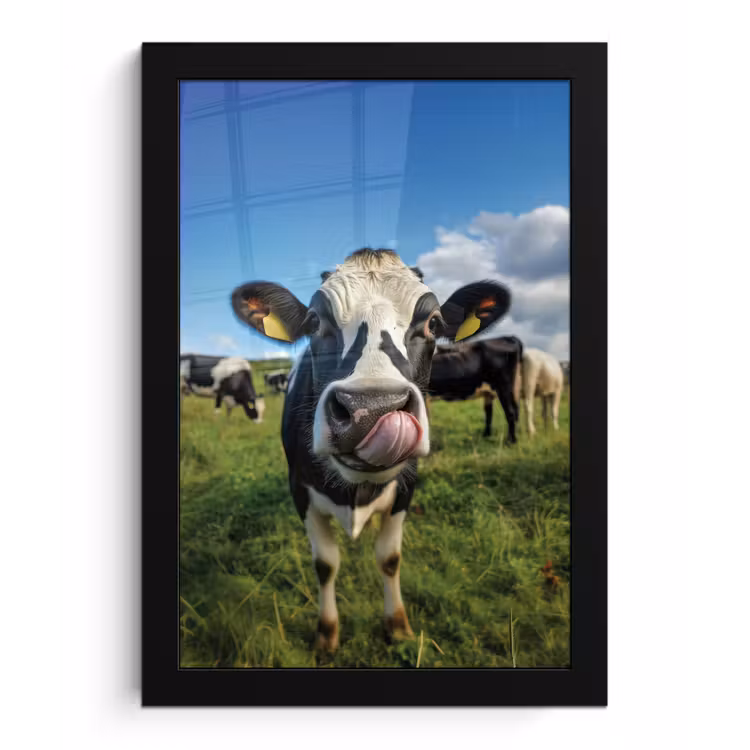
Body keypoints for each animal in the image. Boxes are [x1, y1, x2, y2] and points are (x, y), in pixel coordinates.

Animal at [230, 248, 511, 651]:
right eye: (314, 322)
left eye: (434, 323)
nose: (371, 410)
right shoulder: (299, 489)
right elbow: (325, 564)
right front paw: (327, 633)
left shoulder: (406, 488)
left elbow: (389, 558)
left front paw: (397, 625)